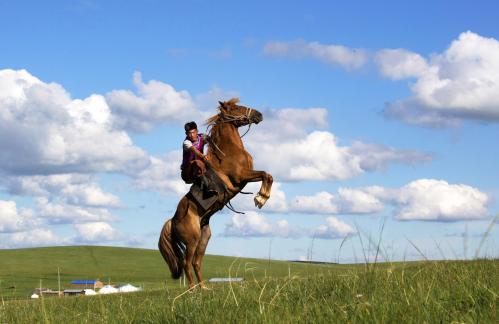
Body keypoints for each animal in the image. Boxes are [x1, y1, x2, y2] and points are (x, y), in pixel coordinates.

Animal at [158, 97, 274, 288]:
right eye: (236, 108)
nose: (259, 114)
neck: (228, 151)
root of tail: (173, 221)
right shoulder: (241, 176)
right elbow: (266, 174)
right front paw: (260, 198)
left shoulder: (246, 178)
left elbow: (268, 175)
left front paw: (262, 197)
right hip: (192, 239)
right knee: (187, 263)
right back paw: (192, 290)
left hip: (204, 237)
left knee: (196, 262)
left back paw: (204, 287)